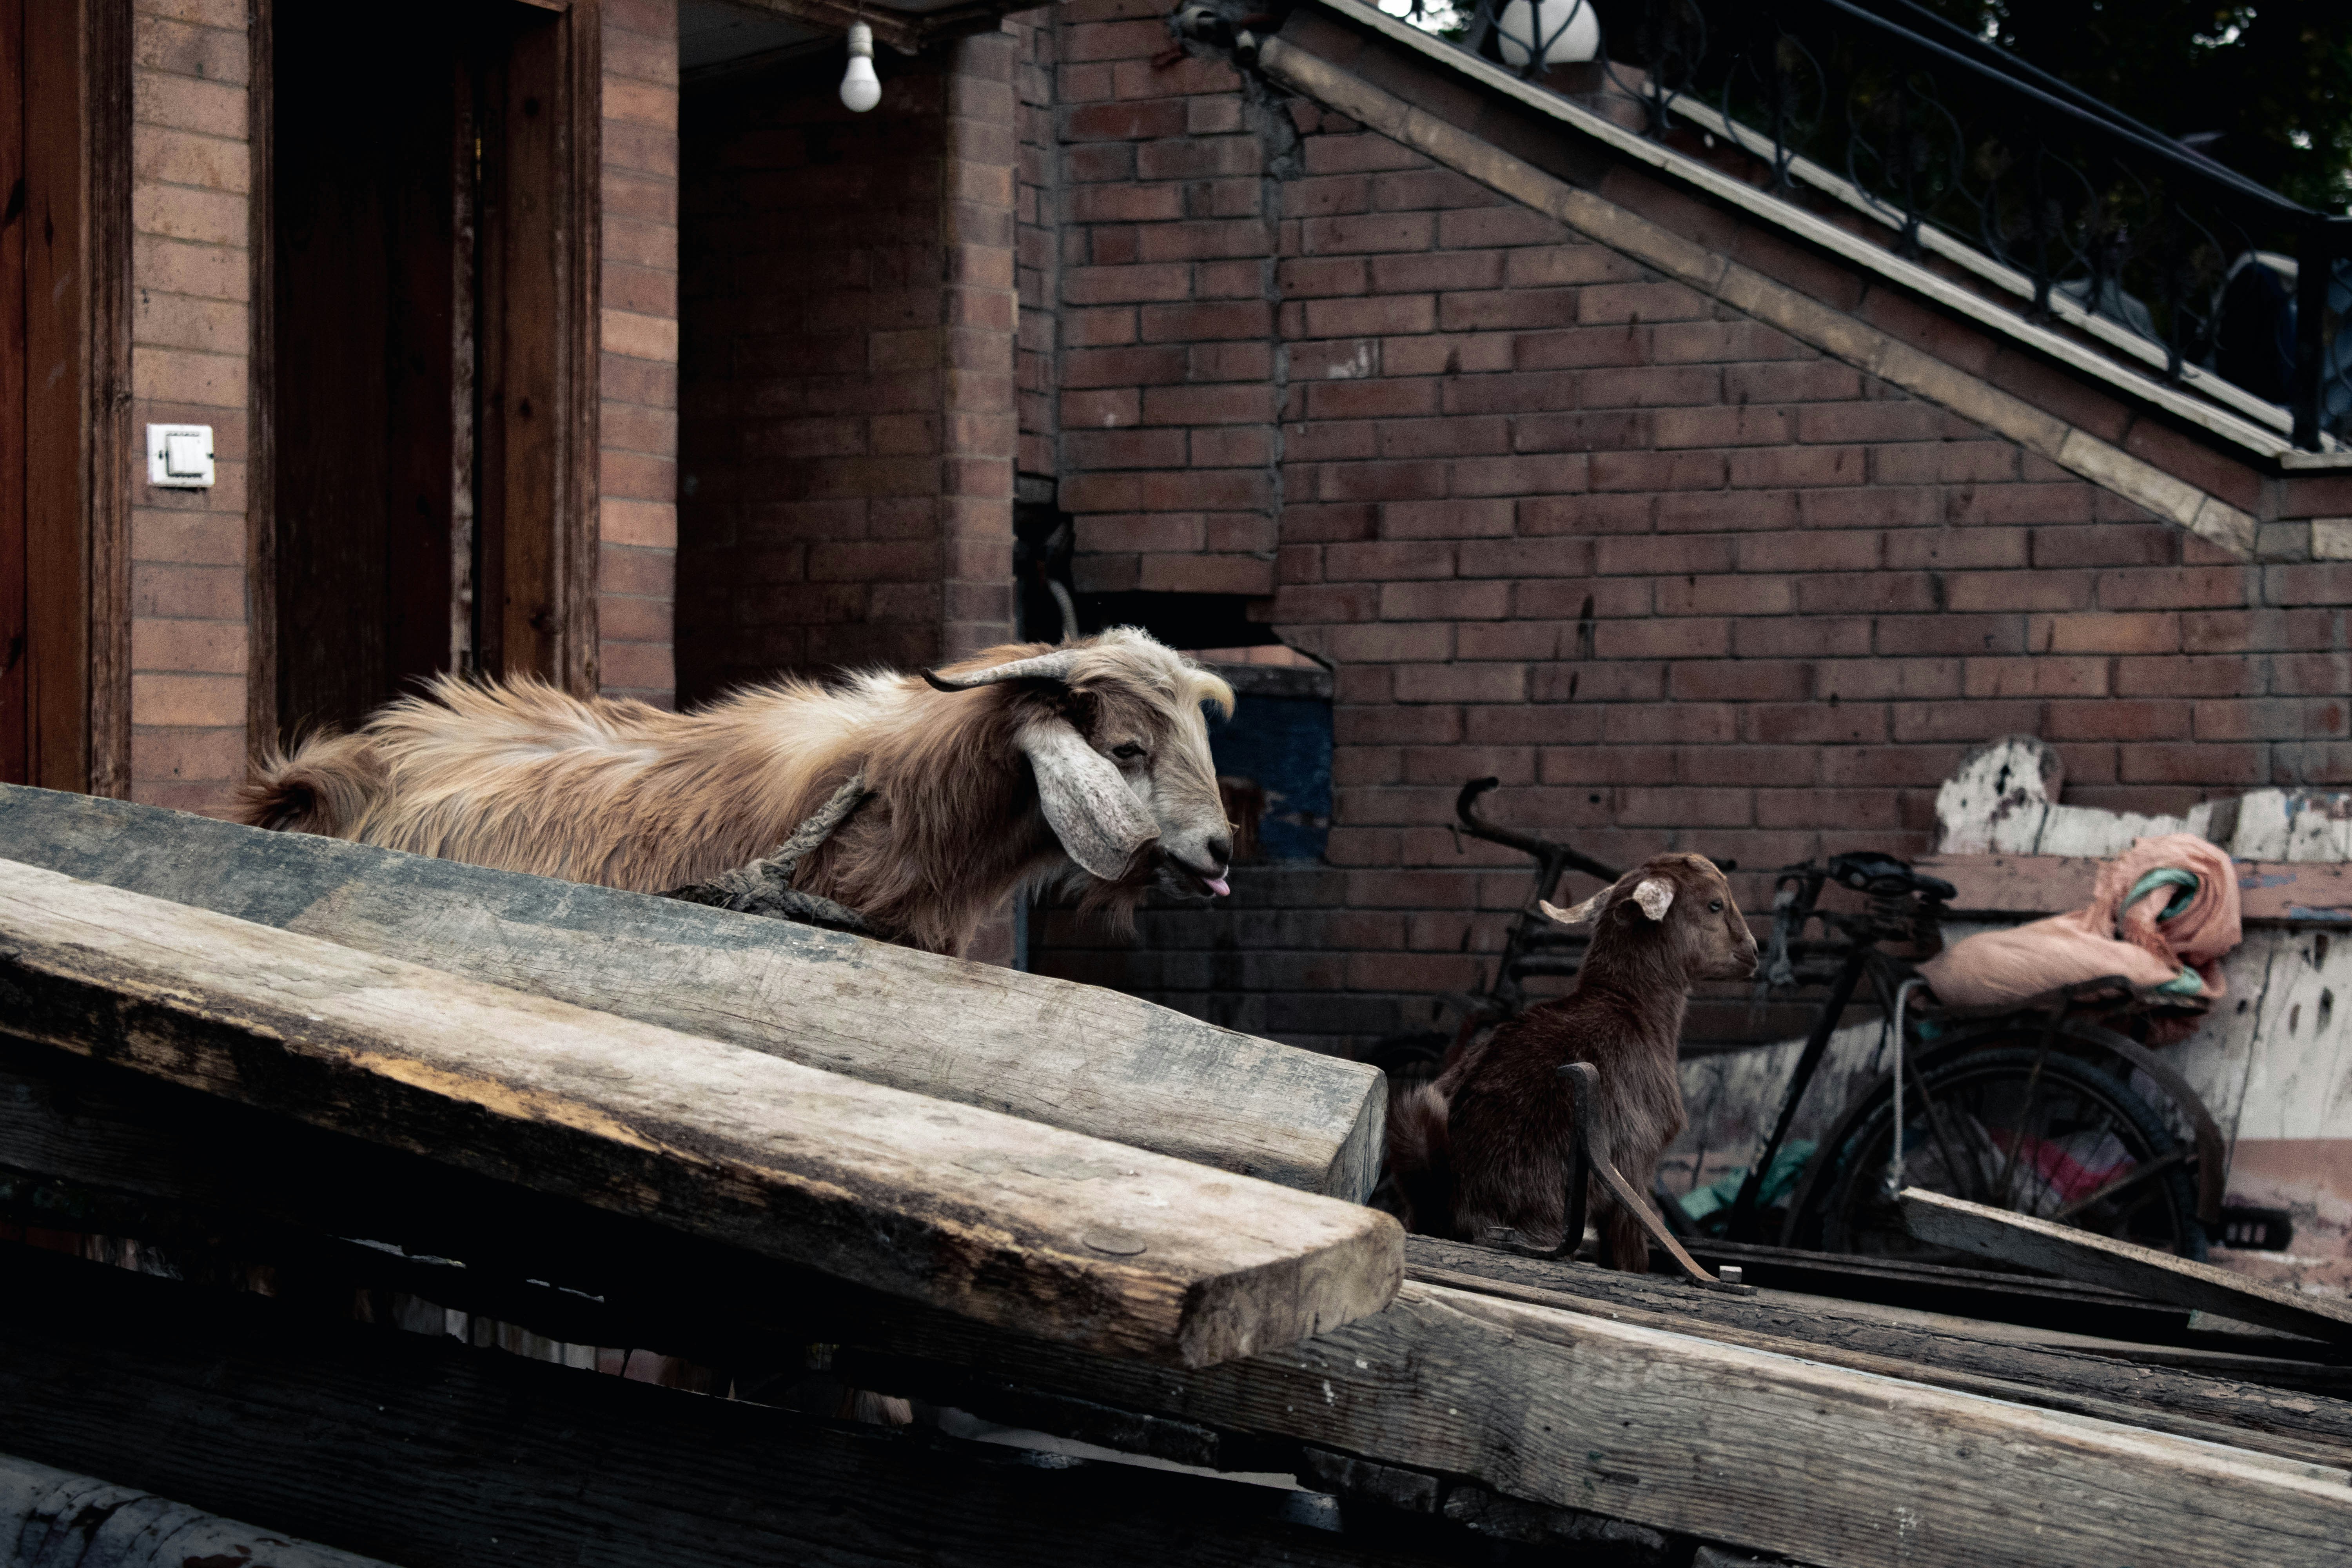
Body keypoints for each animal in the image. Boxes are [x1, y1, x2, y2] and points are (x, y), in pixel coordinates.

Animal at [1386, 854, 1756, 1268]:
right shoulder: (1635, 1163)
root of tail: (1447, 1204)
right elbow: (1629, 1255)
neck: (1630, 1008)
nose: (1753, 952)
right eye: (1715, 904)